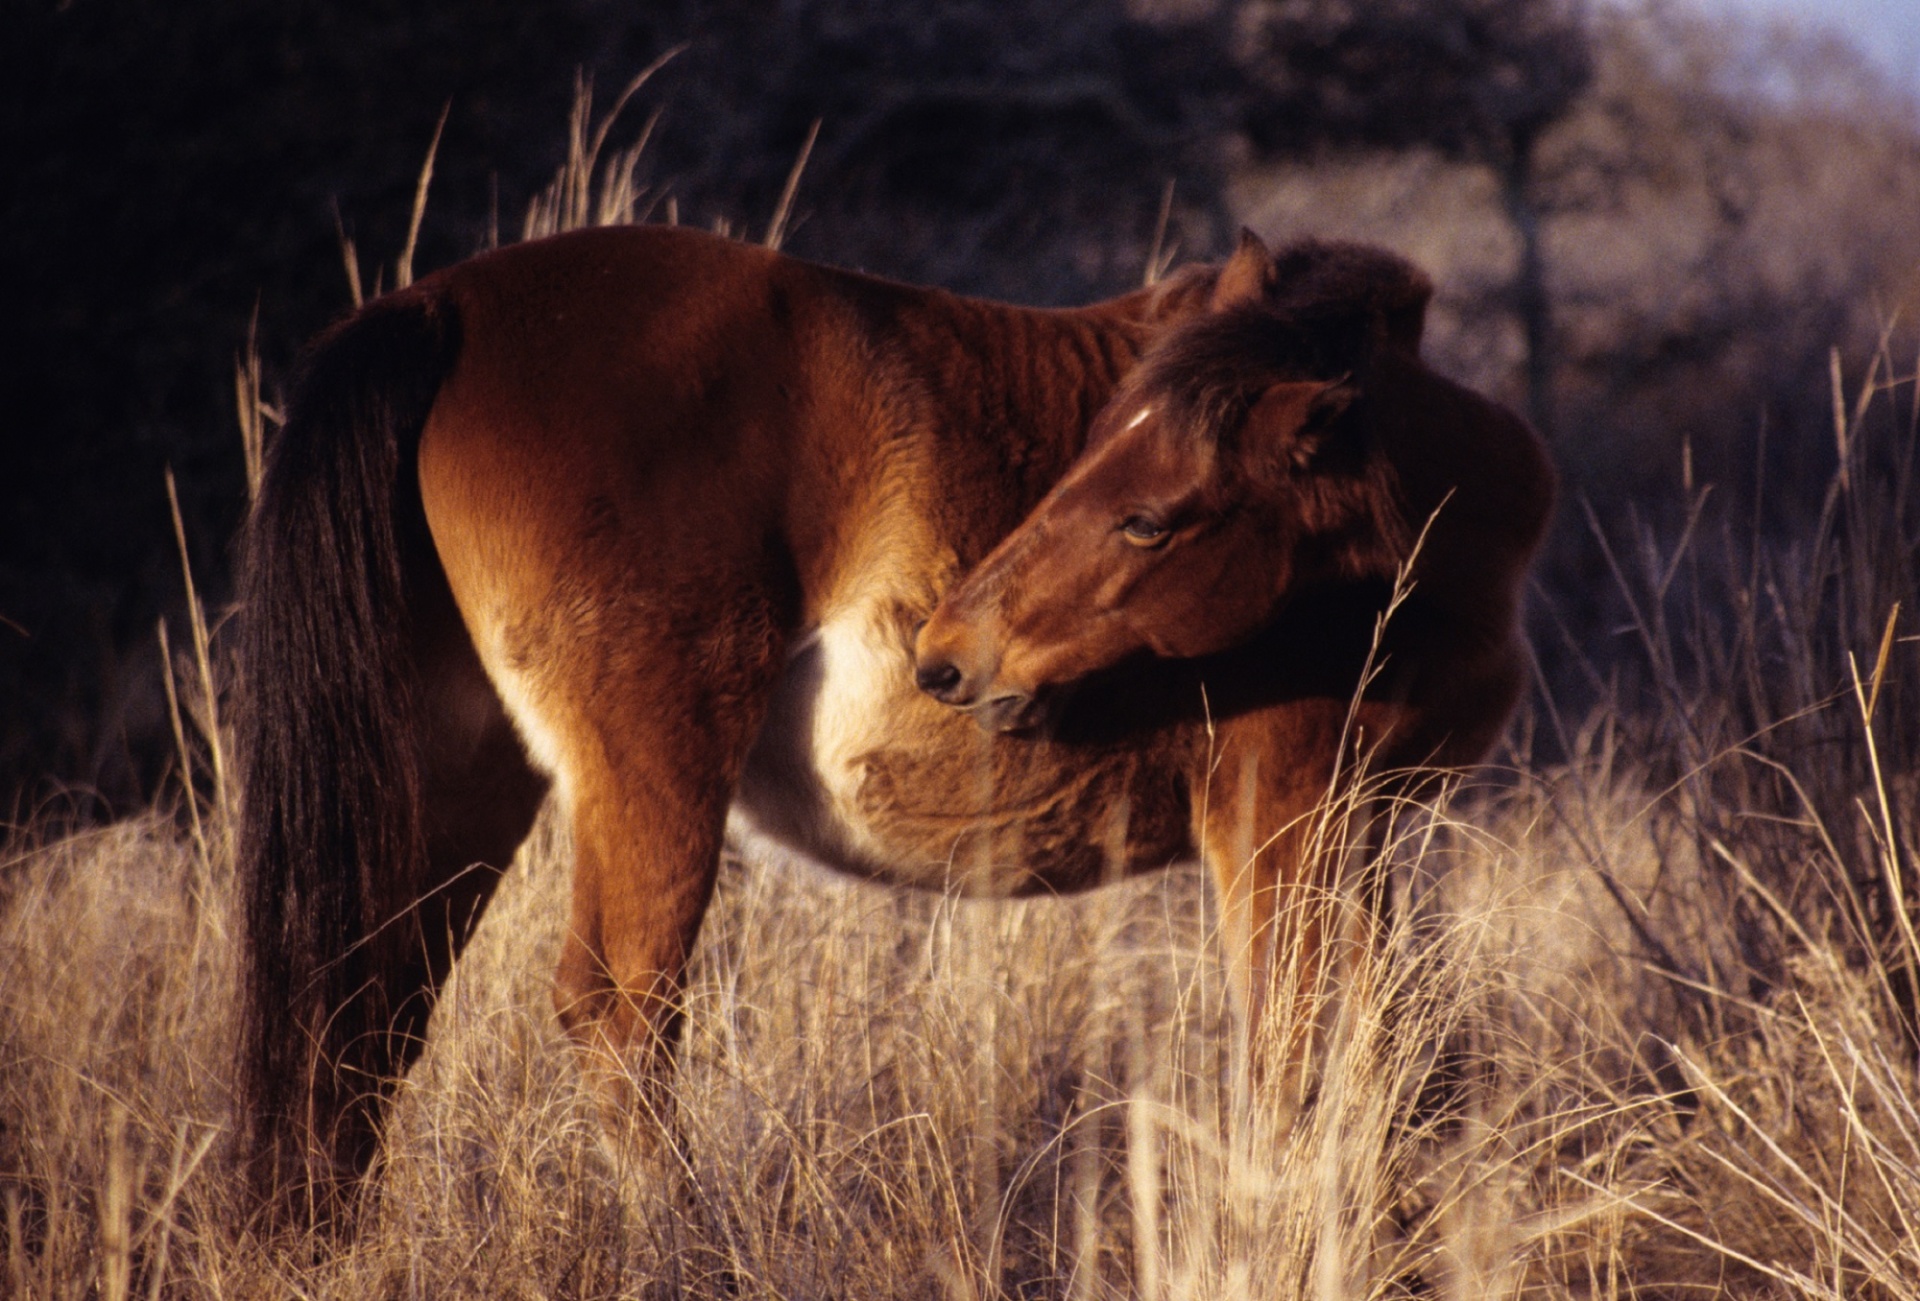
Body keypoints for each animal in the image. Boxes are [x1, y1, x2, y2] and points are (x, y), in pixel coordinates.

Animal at [232, 218, 1551, 1228]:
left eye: (1145, 515)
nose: (952, 655)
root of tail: (441, 306)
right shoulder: (1284, 813)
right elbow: (1296, 1045)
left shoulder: (1366, 830)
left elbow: (1388, 1046)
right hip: (651, 773)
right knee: (617, 1011)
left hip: (460, 782)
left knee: (367, 1014)